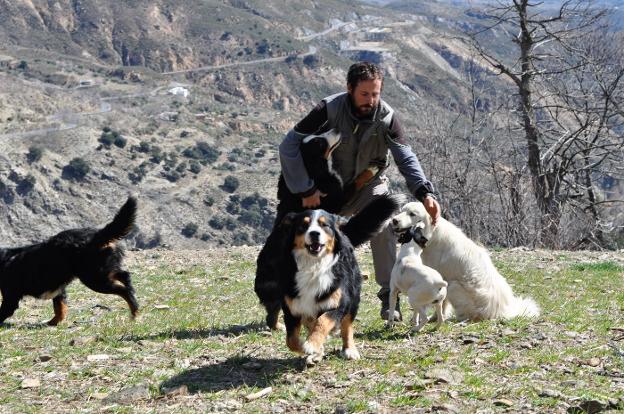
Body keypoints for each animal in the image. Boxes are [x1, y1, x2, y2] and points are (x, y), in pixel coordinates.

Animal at [0, 196, 139, 326]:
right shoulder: (59, 290)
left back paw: (134, 312)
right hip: (102, 271)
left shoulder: (10, 297)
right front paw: (53, 322)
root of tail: (97, 236)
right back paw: (132, 294)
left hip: (94, 278)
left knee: (123, 290)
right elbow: (60, 308)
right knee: (124, 275)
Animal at [390, 202, 540, 322]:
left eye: (412, 214)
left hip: (453, 286)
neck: (432, 234)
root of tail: (503, 311)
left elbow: (438, 303)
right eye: (402, 210)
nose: (394, 220)